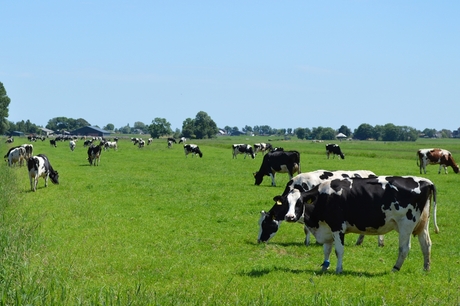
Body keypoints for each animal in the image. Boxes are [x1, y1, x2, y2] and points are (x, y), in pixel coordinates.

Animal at [284, 176, 438, 274]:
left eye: (299, 203)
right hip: (423, 225)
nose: (289, 217)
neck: (324, 197)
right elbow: (327, 250)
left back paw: (395, 269)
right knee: (426, 245)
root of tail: (426, 181)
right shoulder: (327, 228)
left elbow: (338, 250)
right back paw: (426, 268)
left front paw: (338, 270)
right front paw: (324, 267)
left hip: (406, 225)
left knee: (404, 248)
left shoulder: (337, 227)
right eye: (286, 203)